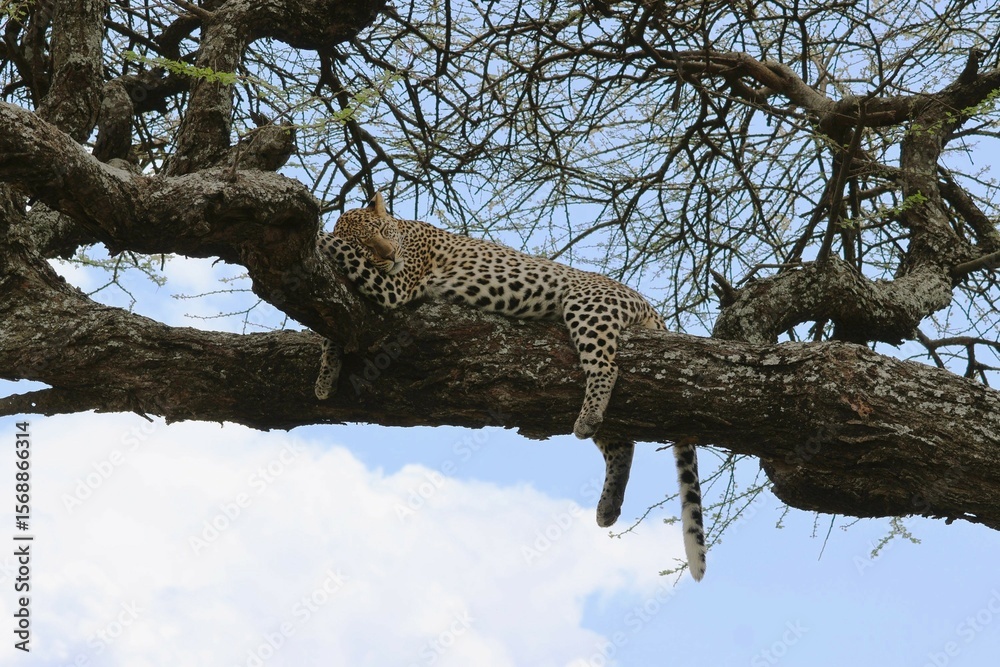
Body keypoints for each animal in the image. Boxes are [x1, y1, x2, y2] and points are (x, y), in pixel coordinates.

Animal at [314, 193, 706, 580]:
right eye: (367, 244)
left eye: (382, 233)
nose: (390, 256)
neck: (405, 234)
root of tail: (647, 305)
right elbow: (333, 332)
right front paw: (325, 378)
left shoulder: (395, 287)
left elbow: (338, 253)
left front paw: (317, 236)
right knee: (621, 443)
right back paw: (608, 504)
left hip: (589, 306)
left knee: (606, 367)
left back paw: (589, 416)